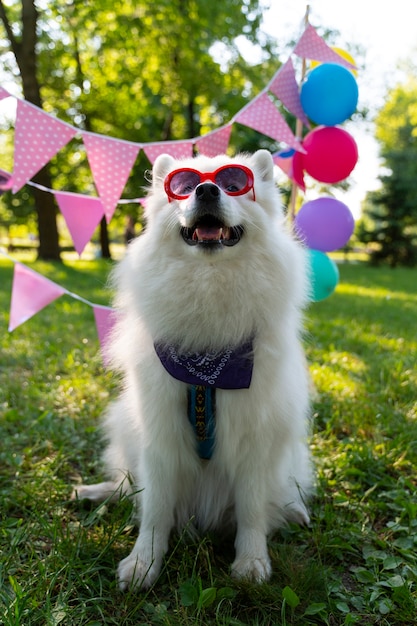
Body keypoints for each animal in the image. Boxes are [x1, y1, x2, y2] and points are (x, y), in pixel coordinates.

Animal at [74, 149, 312, 588]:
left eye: (234, 183)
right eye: (183, 187)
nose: (205, 190)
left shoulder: (255, 438)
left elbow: (252, 509)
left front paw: (251, 561)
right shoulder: (160, 435)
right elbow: (154, 509)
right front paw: (144, 562)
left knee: (283, 490)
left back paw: (292, 510)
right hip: (124, 426)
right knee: (127, 484)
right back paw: (96, 492)